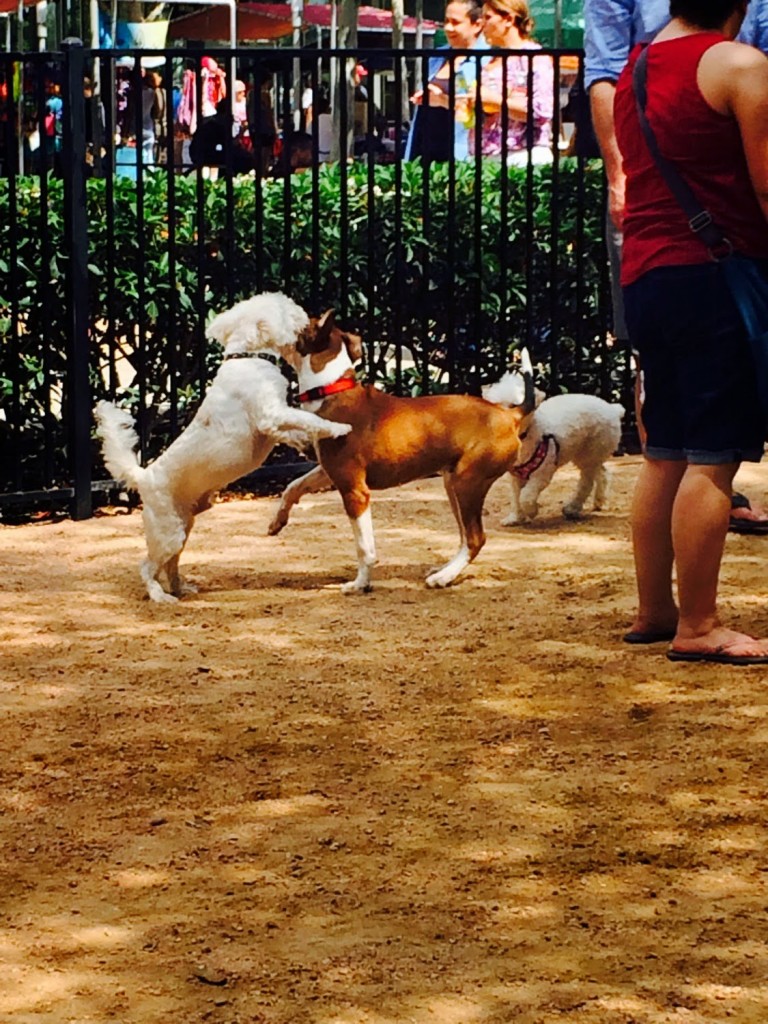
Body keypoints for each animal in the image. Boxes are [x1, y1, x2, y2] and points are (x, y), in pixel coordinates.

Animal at [92, 290, 352, 598]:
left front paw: (308, 445)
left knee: (170, 564)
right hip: (168, 531)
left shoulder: (273, 426)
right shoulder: (272, 415)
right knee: (148, 567)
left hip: (182, 526)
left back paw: (182, 588)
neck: (247, 357)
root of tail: (144, 477)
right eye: (288, 309)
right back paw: (160, 597)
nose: (303, 311)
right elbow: (308, 419)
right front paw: (338, 428)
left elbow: (294, 433)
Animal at [487, 372, 626, 524]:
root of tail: (613, 409)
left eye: (514, 405)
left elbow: (525, 495)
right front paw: (515, 518)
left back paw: (572, 508)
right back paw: (598, 502)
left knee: (587, 482)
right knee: (602, 473)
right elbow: (516, 496)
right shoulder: (515, 476)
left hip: (590, 452)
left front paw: (531, 511)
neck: (527, 434)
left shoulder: (542, 474)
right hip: (591, 455)